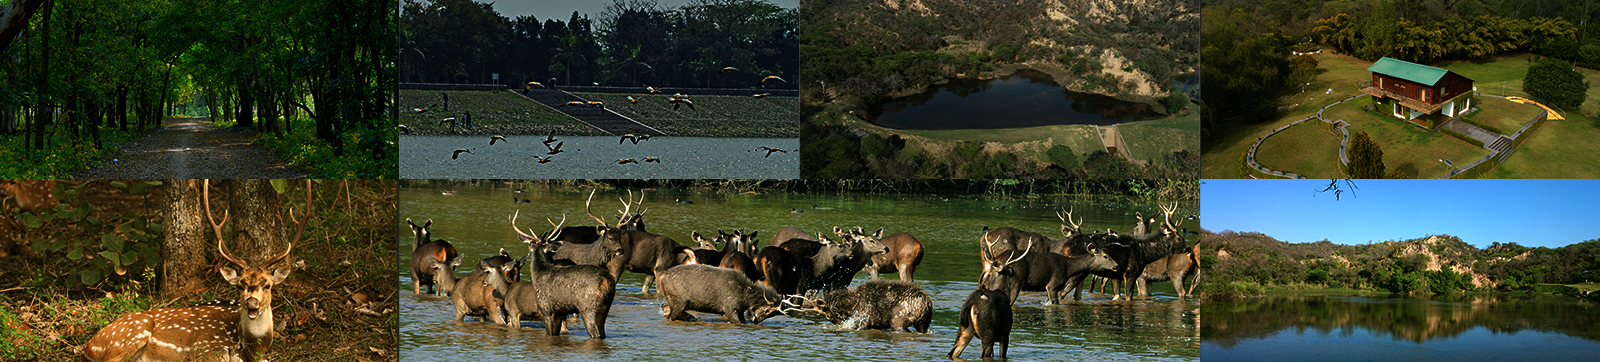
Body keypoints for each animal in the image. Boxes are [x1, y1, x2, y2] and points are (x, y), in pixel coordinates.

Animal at [80, 179, 312, 360]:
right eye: (240, 285)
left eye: (268, 285)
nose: (251, 302)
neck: (254, 351)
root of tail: (88, 347)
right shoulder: (205, 348)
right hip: (130, 338)